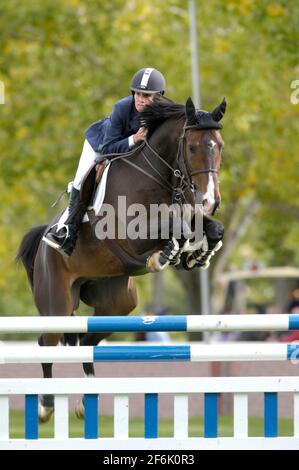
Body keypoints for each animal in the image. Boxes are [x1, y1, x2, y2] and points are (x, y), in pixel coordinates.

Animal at [17, 96, 225, 422]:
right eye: (192, 147)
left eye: (220, 146)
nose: (210, 201)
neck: (160, 176)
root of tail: (42, 244)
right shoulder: (131, 232)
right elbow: (175, 225)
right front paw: (166, 255)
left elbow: (207, 227)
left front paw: (196, 253)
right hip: (57, 303)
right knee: (46, 343)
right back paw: (46, 405)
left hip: (117, 302)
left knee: (87, 342)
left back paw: (86, 399)